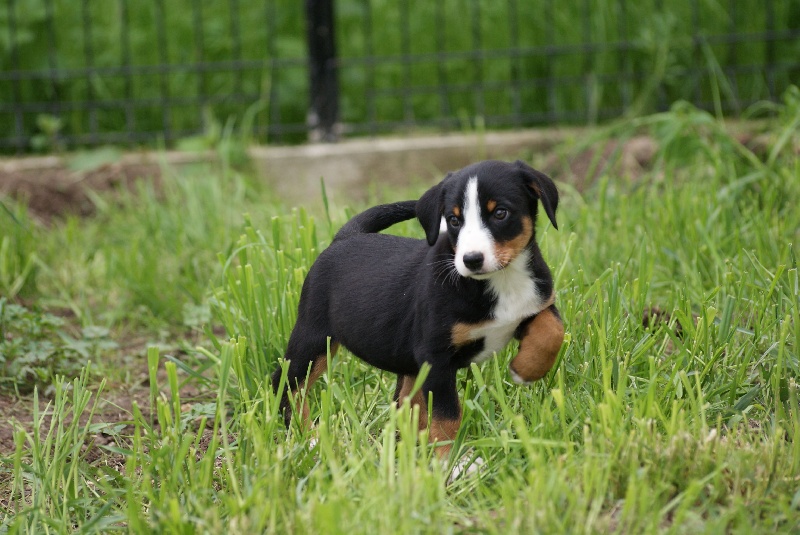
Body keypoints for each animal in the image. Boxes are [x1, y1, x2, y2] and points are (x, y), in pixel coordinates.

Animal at [272, 159, 565, 462]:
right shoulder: (436, 356)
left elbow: (553, 330)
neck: (501, 281)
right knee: (288, 383)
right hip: (315, 336)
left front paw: (526, 369)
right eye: (454, 220)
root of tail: (345, 237)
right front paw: (450, 461)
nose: (471, 260)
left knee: (404, 400)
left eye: (500, 213)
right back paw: (308, 438)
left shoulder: (534, 306)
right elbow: (447, 415)